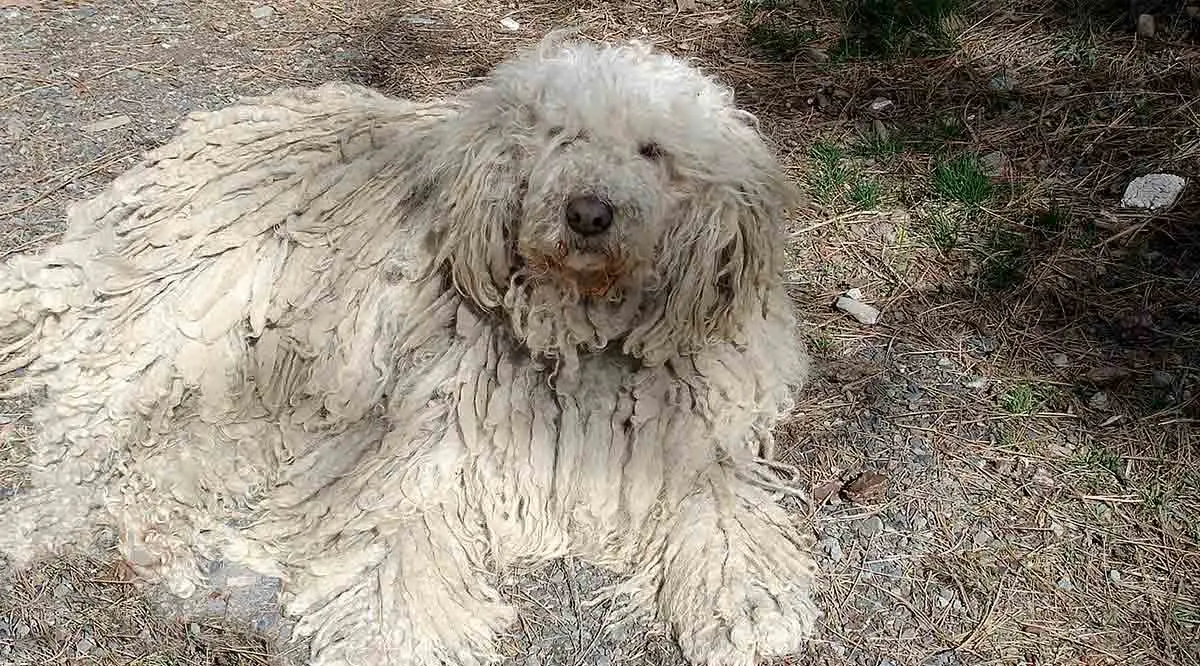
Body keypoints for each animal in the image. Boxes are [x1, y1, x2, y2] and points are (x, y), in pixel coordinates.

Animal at [0, 33, 816, 666]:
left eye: (653, 152)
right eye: (564, 139)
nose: (589, 213)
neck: (578, 332)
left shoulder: (688, 443)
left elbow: (724, 515)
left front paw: (748, 608)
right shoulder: (432, 447)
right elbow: (400, 541)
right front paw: (399, 633)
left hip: (252, 379)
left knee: (172, 452)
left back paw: (156, 542)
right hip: (177, 315)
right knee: (79, 430)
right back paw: (47, 529)